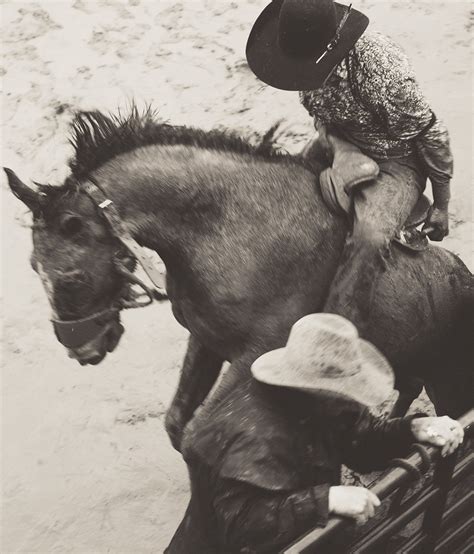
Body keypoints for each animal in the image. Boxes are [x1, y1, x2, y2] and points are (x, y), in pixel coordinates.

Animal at [4, 108, 474, 448]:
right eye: (33, 266)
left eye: (71, 277)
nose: (79, 349)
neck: (229, 225)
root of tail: (461, 276)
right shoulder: (207, 340)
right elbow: (177, 423)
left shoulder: (256, 357)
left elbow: (199, 431)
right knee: (406, 388)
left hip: (448, 378)